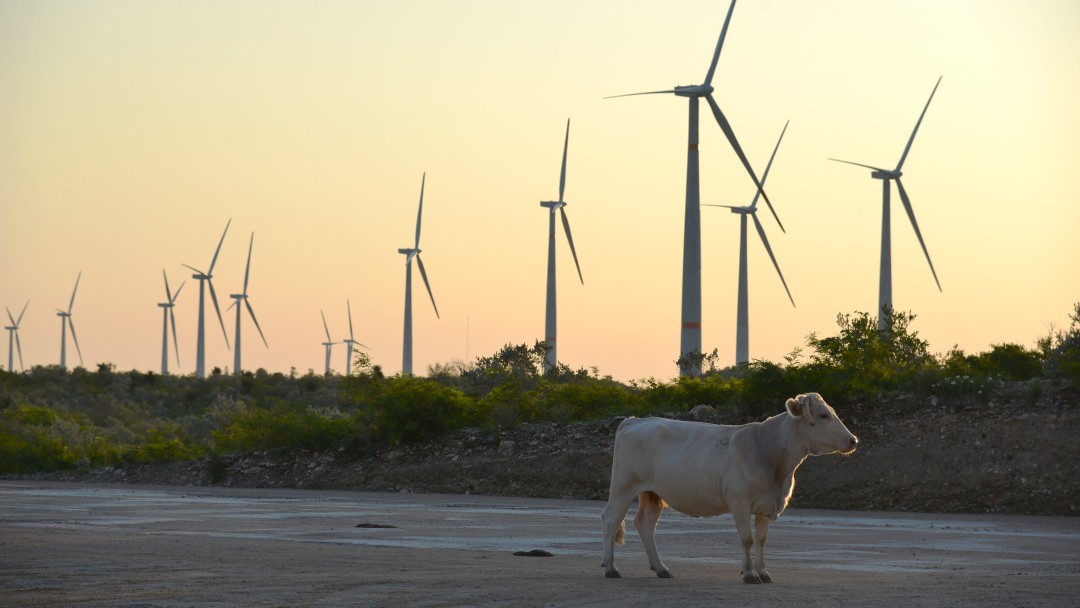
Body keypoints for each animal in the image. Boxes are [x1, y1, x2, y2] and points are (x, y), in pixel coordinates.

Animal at [600, 392, 858, 583]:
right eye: (823, 415)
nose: (853, 440)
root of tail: (636, 420)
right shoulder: (739, 502)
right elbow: (747, 539)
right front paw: (750, 574)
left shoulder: (766, 505)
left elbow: (761, 540)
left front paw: (764, 573)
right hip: (623, 485)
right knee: (611, 519)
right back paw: (610, 568)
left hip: (652, 492)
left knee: (645, 524)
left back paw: (661, 568)